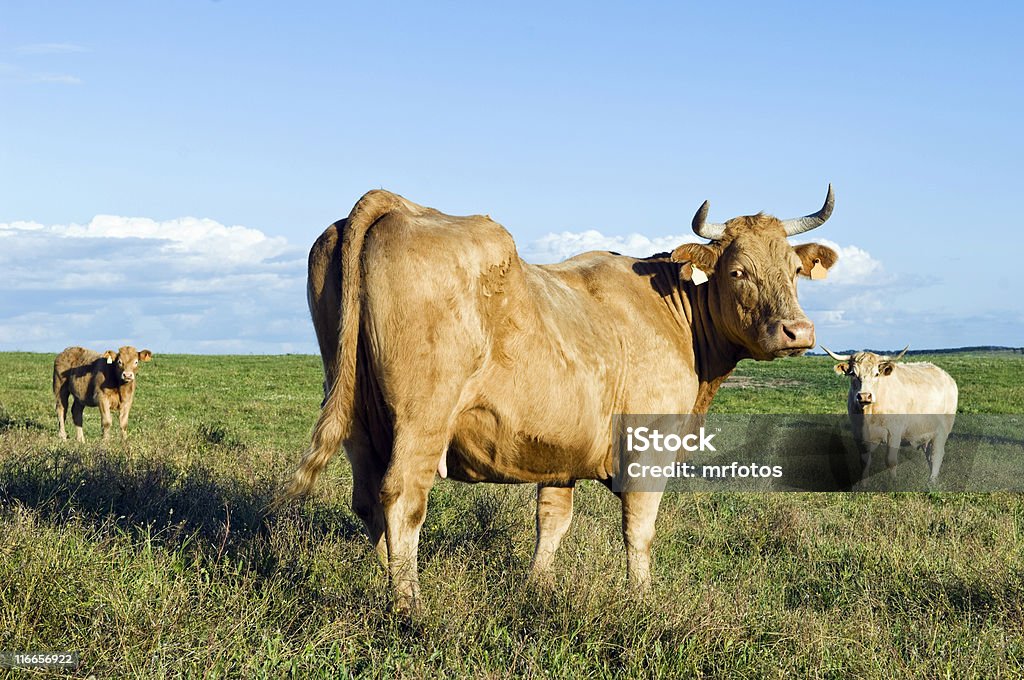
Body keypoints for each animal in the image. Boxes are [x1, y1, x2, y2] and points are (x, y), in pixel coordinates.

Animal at [282, 187, 839, 610]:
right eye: (737, 271)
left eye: (794, 269)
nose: (798, 331)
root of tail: (397, 204)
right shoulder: (649, 447)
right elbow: (639, 528)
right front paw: (643, 601)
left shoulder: (558, 449)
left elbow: (552, 519)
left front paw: (538, 587)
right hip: (422, 417)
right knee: (401, 498)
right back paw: (409, 605)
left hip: (357, 416)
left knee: (368, 501)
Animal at [823, 346, 958, 483]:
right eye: (853, 374)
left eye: (876, 374)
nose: (864, 396)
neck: (869, 413)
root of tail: (946, 376)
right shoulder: (858, 432)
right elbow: (864, 460)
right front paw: (863, 483)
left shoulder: (894, 432)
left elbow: (891, 461)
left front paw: (893, 482)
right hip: (926, 432)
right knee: (929, 454)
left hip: (942, 430)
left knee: (936, 455)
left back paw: (932, 481)